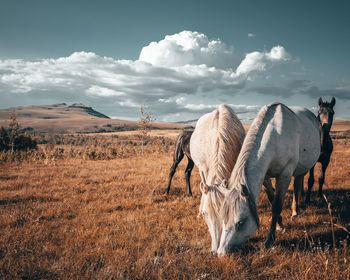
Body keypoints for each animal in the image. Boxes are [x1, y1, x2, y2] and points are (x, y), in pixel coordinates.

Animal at [217, 102, 322, 254]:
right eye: (223, 218)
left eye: (241, 222)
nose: (221, 252)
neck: (276, 136)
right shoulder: (265, 177)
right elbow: (272, 200)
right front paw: (279, 224)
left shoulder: (284, 175)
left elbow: (277, 204)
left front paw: (270, 239)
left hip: (302, 168)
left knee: (297, 184)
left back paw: (295, 212)